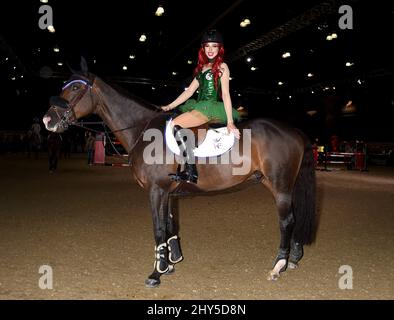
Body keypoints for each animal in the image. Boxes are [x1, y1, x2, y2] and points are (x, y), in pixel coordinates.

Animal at [41, 60, 316, 288]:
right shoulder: (166, 192)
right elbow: (168, 225)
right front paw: (169, 263)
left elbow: (158, 228)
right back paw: (293, 259)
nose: (47, 121)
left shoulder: (155, 191)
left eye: (76, 88)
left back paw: (278, 266)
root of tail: (294, 131)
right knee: (295, 217)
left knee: (286, 221)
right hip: (280, 184)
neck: (143, 130)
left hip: (280, 186)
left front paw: (156, 274)